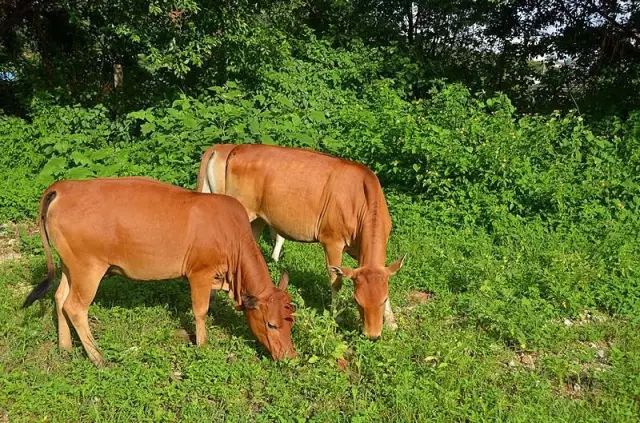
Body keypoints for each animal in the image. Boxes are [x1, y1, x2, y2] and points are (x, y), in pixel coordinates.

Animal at [21, 177, 298, 366]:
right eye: (271, 324)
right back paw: (98, 357)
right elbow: (200, 311)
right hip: (88, 268)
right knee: (75, 307)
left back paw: (65, 347)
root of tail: (64, 187)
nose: (289, 356)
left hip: (71, 266)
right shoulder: (200, 272)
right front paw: (202, 346)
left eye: (290, 322)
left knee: (59, 298)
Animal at [196, 144, 404, 340]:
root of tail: (235, 149)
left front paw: (392, 323)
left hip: (256, 220)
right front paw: (334, 317)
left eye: (383, 299)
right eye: (357, 301)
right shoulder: (332, 241)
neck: (358, 200)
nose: (373, 335)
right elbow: (335, 282)